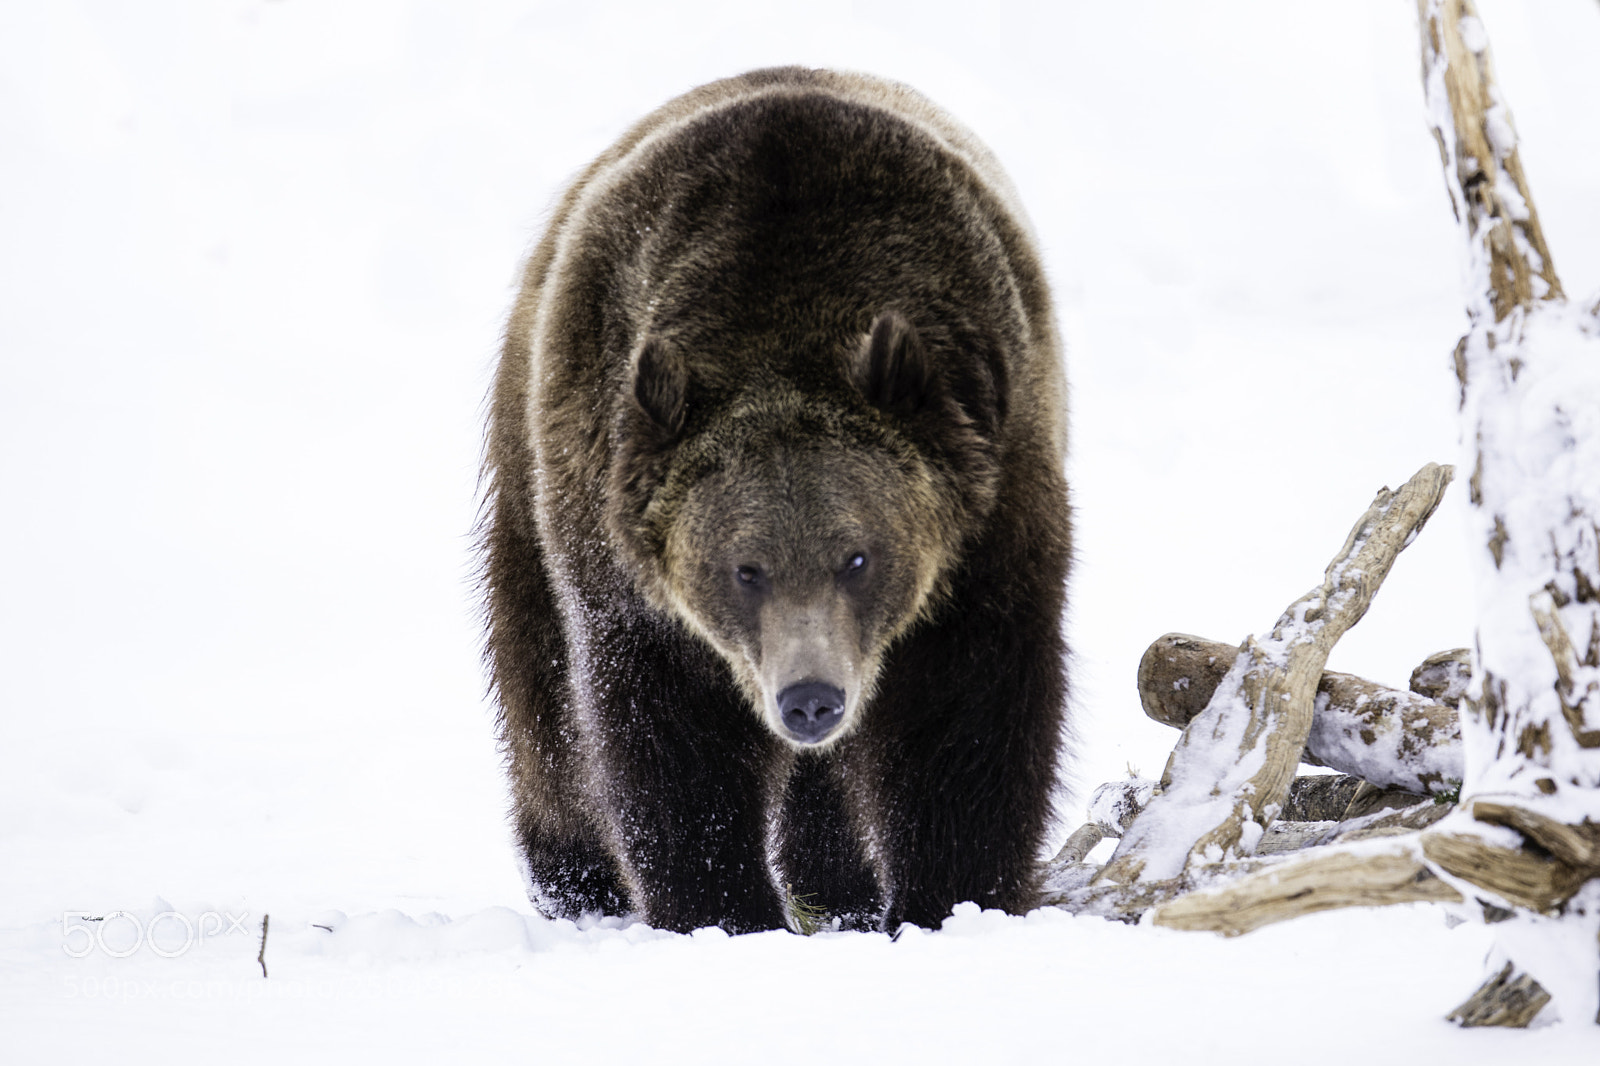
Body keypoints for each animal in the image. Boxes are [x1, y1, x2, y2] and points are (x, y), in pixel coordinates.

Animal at [481, 67, 1071, 934]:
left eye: (858, 556)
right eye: (744, 569)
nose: (811, 701)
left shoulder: (991, 502)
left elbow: (967, 715)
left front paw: (951, 896)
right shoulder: (622, 544)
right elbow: (669, 735)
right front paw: (719, 906)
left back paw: (836, 882)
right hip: (527, 450)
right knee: (541, 685)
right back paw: (576, 876)